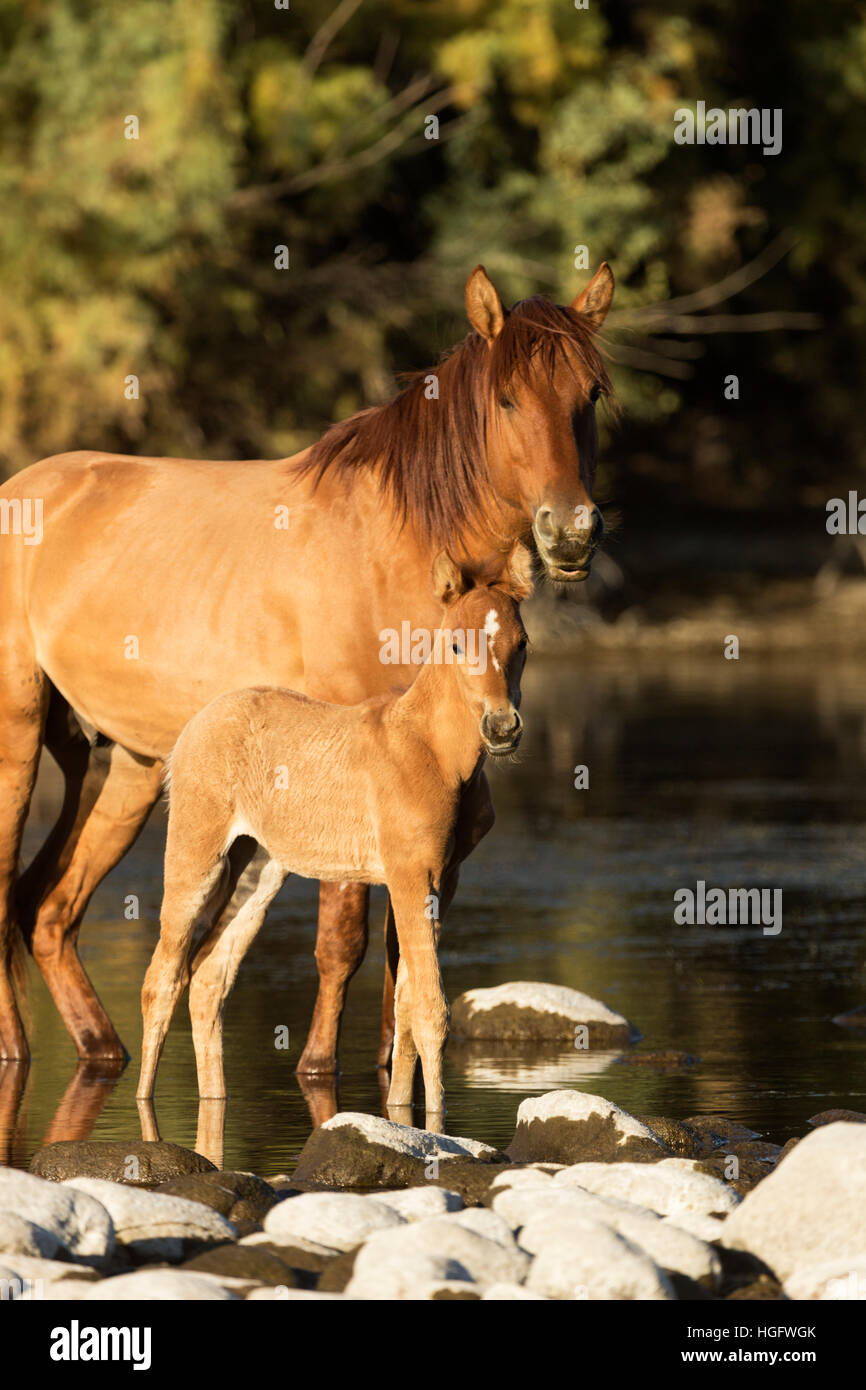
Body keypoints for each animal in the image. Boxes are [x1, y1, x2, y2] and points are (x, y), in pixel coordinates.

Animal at [136, 547, 531, 1116]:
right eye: (457, 643)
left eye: (521, 644)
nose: (502, 728)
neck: (434, 751)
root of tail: (193, 725)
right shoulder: (410, 874)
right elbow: (431, 1009)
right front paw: (438, 1120)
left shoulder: (442, 878)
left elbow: (405, 1005)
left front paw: (400, 1114)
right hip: (197, 855)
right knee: (163, 978)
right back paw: (143, 1102)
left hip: (259, 865)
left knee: (210, 977)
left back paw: (215, 1099)